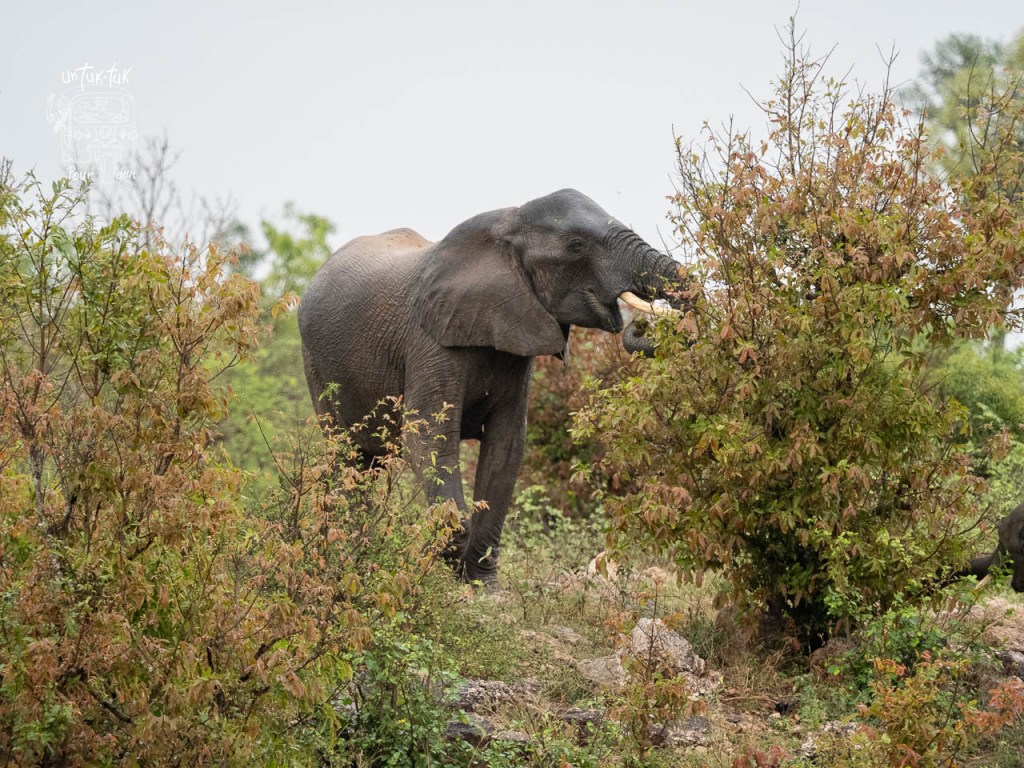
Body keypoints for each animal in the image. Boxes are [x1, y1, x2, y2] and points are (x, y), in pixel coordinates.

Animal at [298, 189, 685, 585]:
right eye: (576, 246)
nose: (641, 319)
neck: (505, 226)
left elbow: (506, 447)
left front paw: (482, 586)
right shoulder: (429, 340)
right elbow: (428, 438)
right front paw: (445, 571)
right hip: (315, 364)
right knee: (348, 455)